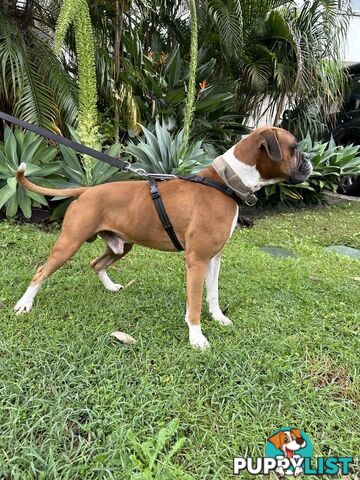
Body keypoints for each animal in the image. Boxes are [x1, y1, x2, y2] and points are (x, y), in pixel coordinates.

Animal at [14, 126, 312, 348]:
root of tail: (87, 190)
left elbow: (213, 294)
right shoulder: (196, 260)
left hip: (121, 246)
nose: (309, 159)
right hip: (69, 244)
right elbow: (194, 303)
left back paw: (110, 287)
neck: (225, 182)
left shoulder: (214, 258)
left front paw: (218, 318)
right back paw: (24, 304)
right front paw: (197, 338)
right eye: (295, 147)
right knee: (41, 271)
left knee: (96, 263)